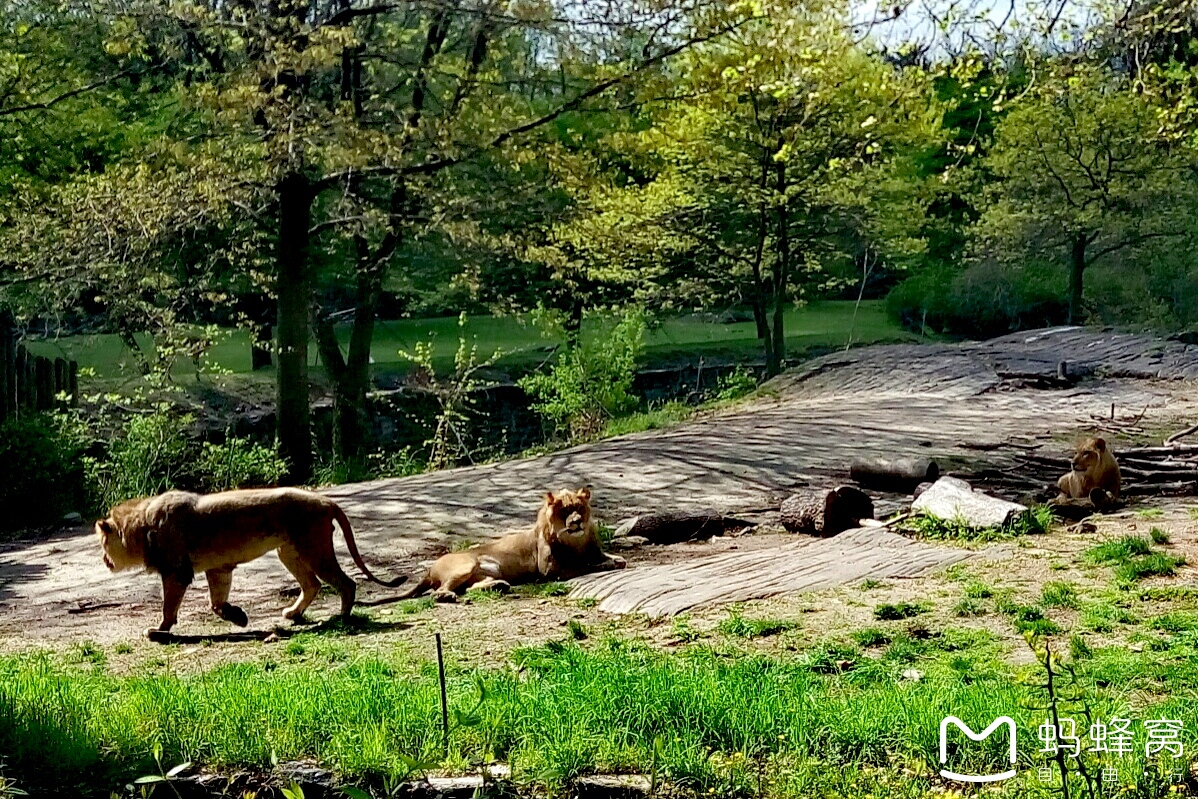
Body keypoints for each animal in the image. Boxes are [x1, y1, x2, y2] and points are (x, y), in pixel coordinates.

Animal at [93, 483, 402, 642]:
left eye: (103, 544)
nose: (104, 561)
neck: (140, 525)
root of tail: (327, 501)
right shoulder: (217, 569)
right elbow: (216, 603)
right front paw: (239, 617)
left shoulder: (176, 572)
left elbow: (169, 608)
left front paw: (158, 630)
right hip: (289, 552)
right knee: (312, 585)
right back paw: (294, 614)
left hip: (313, 548)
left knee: (346, 583)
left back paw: (340, 618)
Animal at [390, 483, 627, 603]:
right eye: (566, 511)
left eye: (580, 509)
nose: (577, 521)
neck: (575, 540)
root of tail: (430, 569)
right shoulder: (552, 570)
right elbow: (585, 566)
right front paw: (606, 565)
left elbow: (612, 559)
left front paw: (616, 560)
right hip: (465, 565)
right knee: (438, 591)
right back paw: (446, 595)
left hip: (488, 570)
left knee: (471, 588)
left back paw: (500, 586)